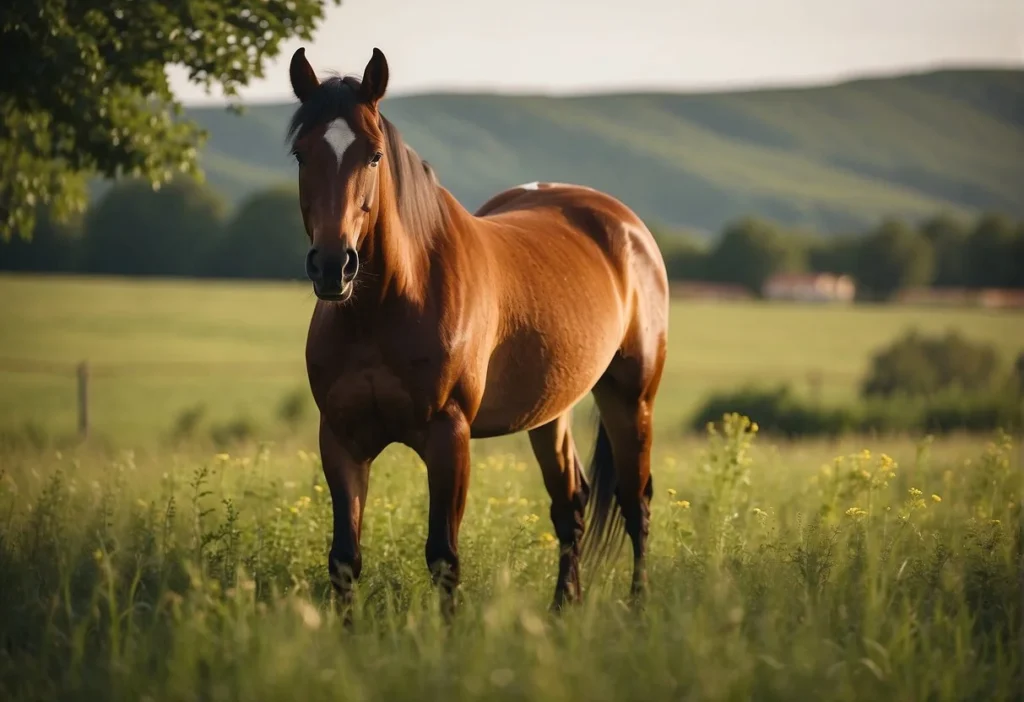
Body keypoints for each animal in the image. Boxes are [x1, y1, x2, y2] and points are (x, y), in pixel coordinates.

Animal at [288, 46, 671, 618]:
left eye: (374, 156)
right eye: (300, 154)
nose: (334, 266)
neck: (386, 305)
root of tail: (628, 228)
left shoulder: (450, 437)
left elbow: (443, 558)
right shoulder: (340, 439)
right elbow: (344, 560)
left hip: (631, 398)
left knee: (635, 502)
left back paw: (639, 606)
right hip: (551, 412)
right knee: (571, 503)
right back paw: (564, 607)